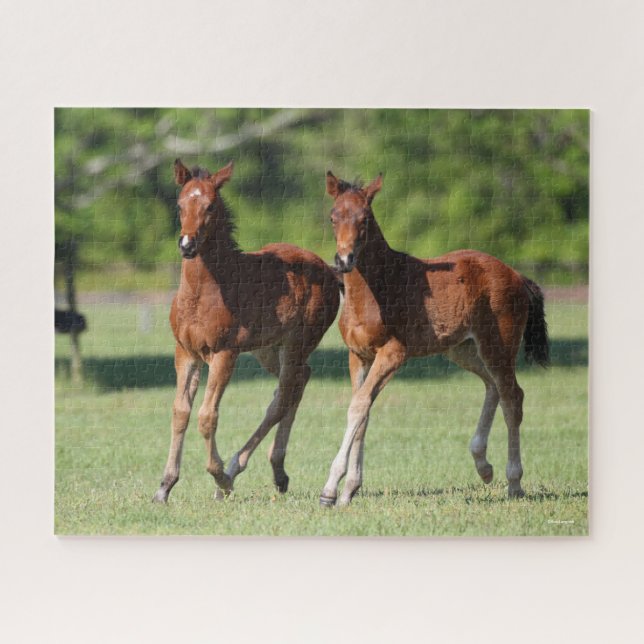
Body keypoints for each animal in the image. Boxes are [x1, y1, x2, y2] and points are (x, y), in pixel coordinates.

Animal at [153, 160, 340, 503]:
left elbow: (207, 416)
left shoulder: (225, 353)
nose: (187, 245)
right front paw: (165, 486)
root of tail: (329, 271)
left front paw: (219, 478)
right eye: (180, 204)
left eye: (210, 206)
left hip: (297, 343)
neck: (204, 292)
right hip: (268, 349)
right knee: (298, 382)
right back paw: (278, 472)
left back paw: (234, 471)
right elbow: (180, 412)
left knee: (284, 395)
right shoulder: (185, 352)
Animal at [319, 171, 549, 507]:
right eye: (333, 216)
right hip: (463, 349)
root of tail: (517, 275)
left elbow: (359, 406)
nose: (344, 259)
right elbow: (363, 412)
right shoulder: (358, 356)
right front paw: (349, 490)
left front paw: (331, 490)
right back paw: (483, 466)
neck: (376, 288)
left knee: (512, 397)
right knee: (492, 385)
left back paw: (514, 482)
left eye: (365, 219)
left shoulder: (393, 353)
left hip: (499, 346)